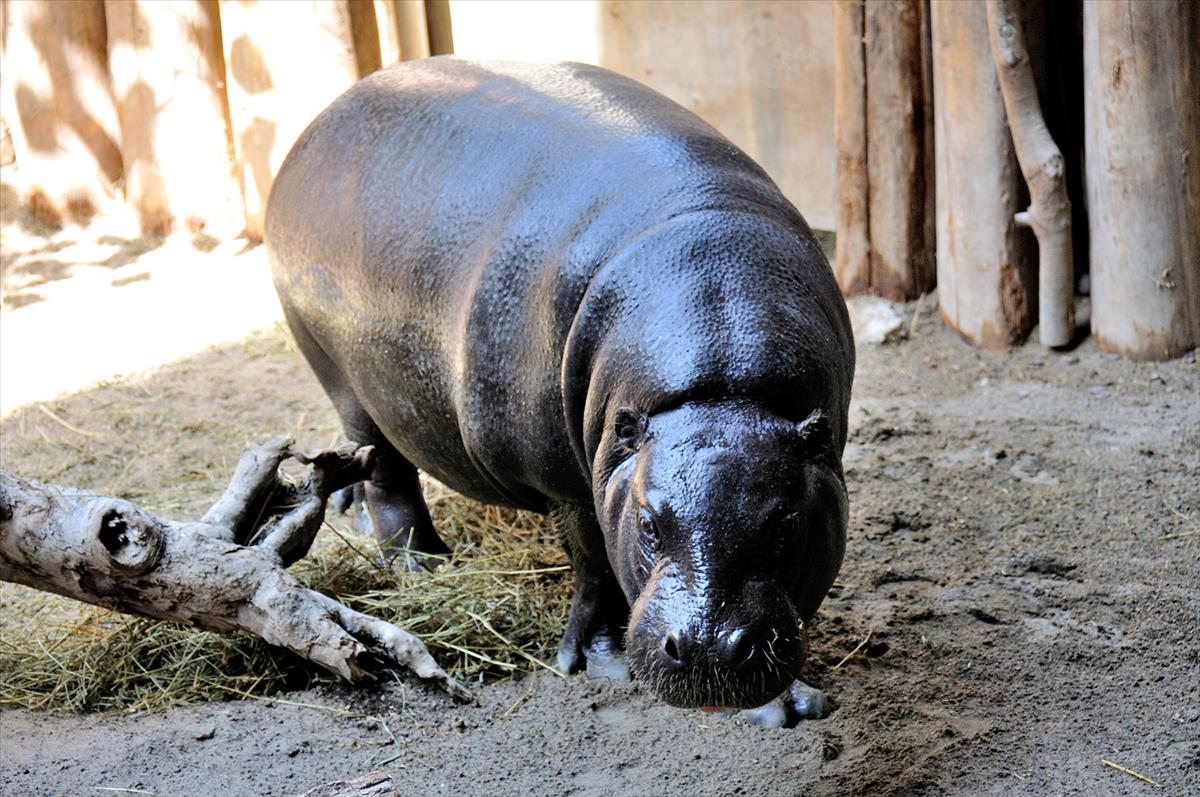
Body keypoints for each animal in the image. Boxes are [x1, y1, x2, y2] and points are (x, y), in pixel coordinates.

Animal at [267, 57, 859, 729]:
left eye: (786, 525)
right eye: (649, 524)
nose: (707, 649)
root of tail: (327, 114)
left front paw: (788, 702)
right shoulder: (567, 480)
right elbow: (596, 564)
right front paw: (604, 662)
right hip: (343, 375)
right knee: (386, 470)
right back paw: (423, 562)